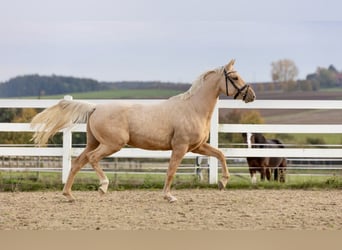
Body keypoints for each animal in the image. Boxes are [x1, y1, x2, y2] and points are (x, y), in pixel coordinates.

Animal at [32, 59, 255, 202]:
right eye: (235, 77)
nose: (251, 95)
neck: (193, 108)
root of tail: (95, 107)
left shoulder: (197, 147)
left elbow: (220, 154)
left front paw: (223, 183)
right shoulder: (180, 147)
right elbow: (171, 171)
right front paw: (168, 196)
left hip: (94, 142)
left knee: (78, 162)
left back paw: (69, 195)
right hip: (113, 144)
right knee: (92, 159)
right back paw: (103, 186)